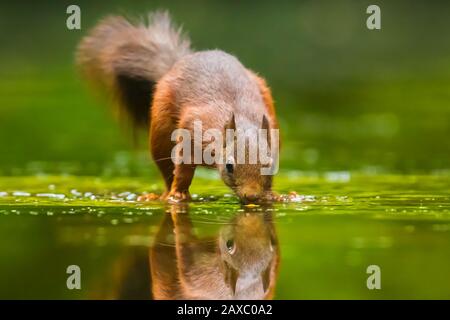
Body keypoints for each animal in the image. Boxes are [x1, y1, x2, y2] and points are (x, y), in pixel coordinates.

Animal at [78, 12, 282, 204]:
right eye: (229, 166)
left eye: (271, 165)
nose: (252, 196)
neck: (240, 117)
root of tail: (178, 63)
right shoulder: (192, 130)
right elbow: (183, 168)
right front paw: (179, 193)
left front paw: (273, 195)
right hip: (161, 132)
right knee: (167, 170)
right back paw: (165, 194)